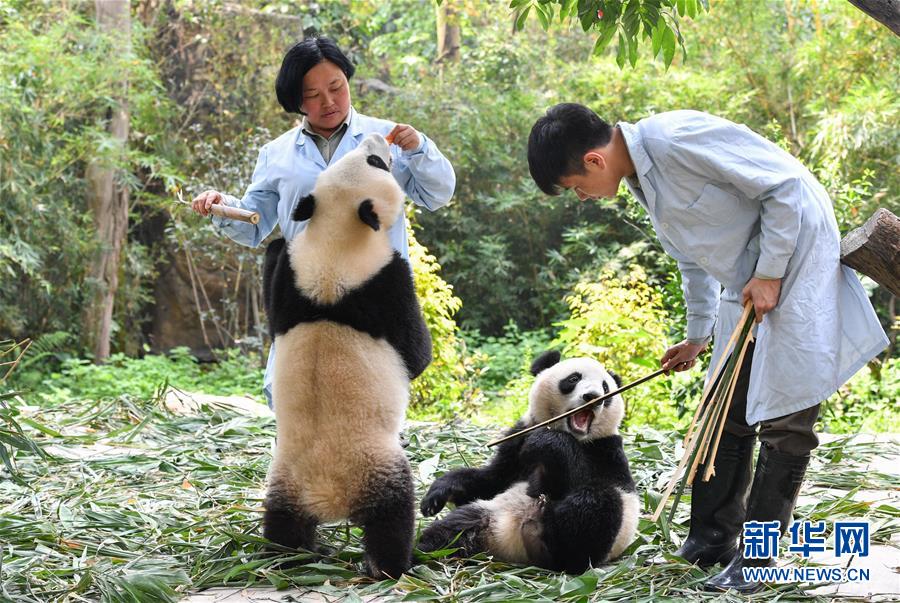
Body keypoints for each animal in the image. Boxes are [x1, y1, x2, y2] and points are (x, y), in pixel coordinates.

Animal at [260, 133, 432, 580]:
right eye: (376, 162)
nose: (377, 136)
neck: (335, 237)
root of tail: (327, 495)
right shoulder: (383, 281)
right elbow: (415, 352)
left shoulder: (294, 281)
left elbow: (276, 285)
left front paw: (275, 243)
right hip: (376, 464)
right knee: (393, 514)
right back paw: (392, 565)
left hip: (284, 475)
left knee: (282, 521)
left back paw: (290, 555)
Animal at [422, 352, 640, 572]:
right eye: (573, 379)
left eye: (606, 388)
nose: (593, 397)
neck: (570, 433)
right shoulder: (520, 436)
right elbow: (492, 480)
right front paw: (436, 496)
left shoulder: (606, 450)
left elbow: (579, 476)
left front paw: (545, 443)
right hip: (486, 517)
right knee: (452, 530)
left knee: (596, 504)